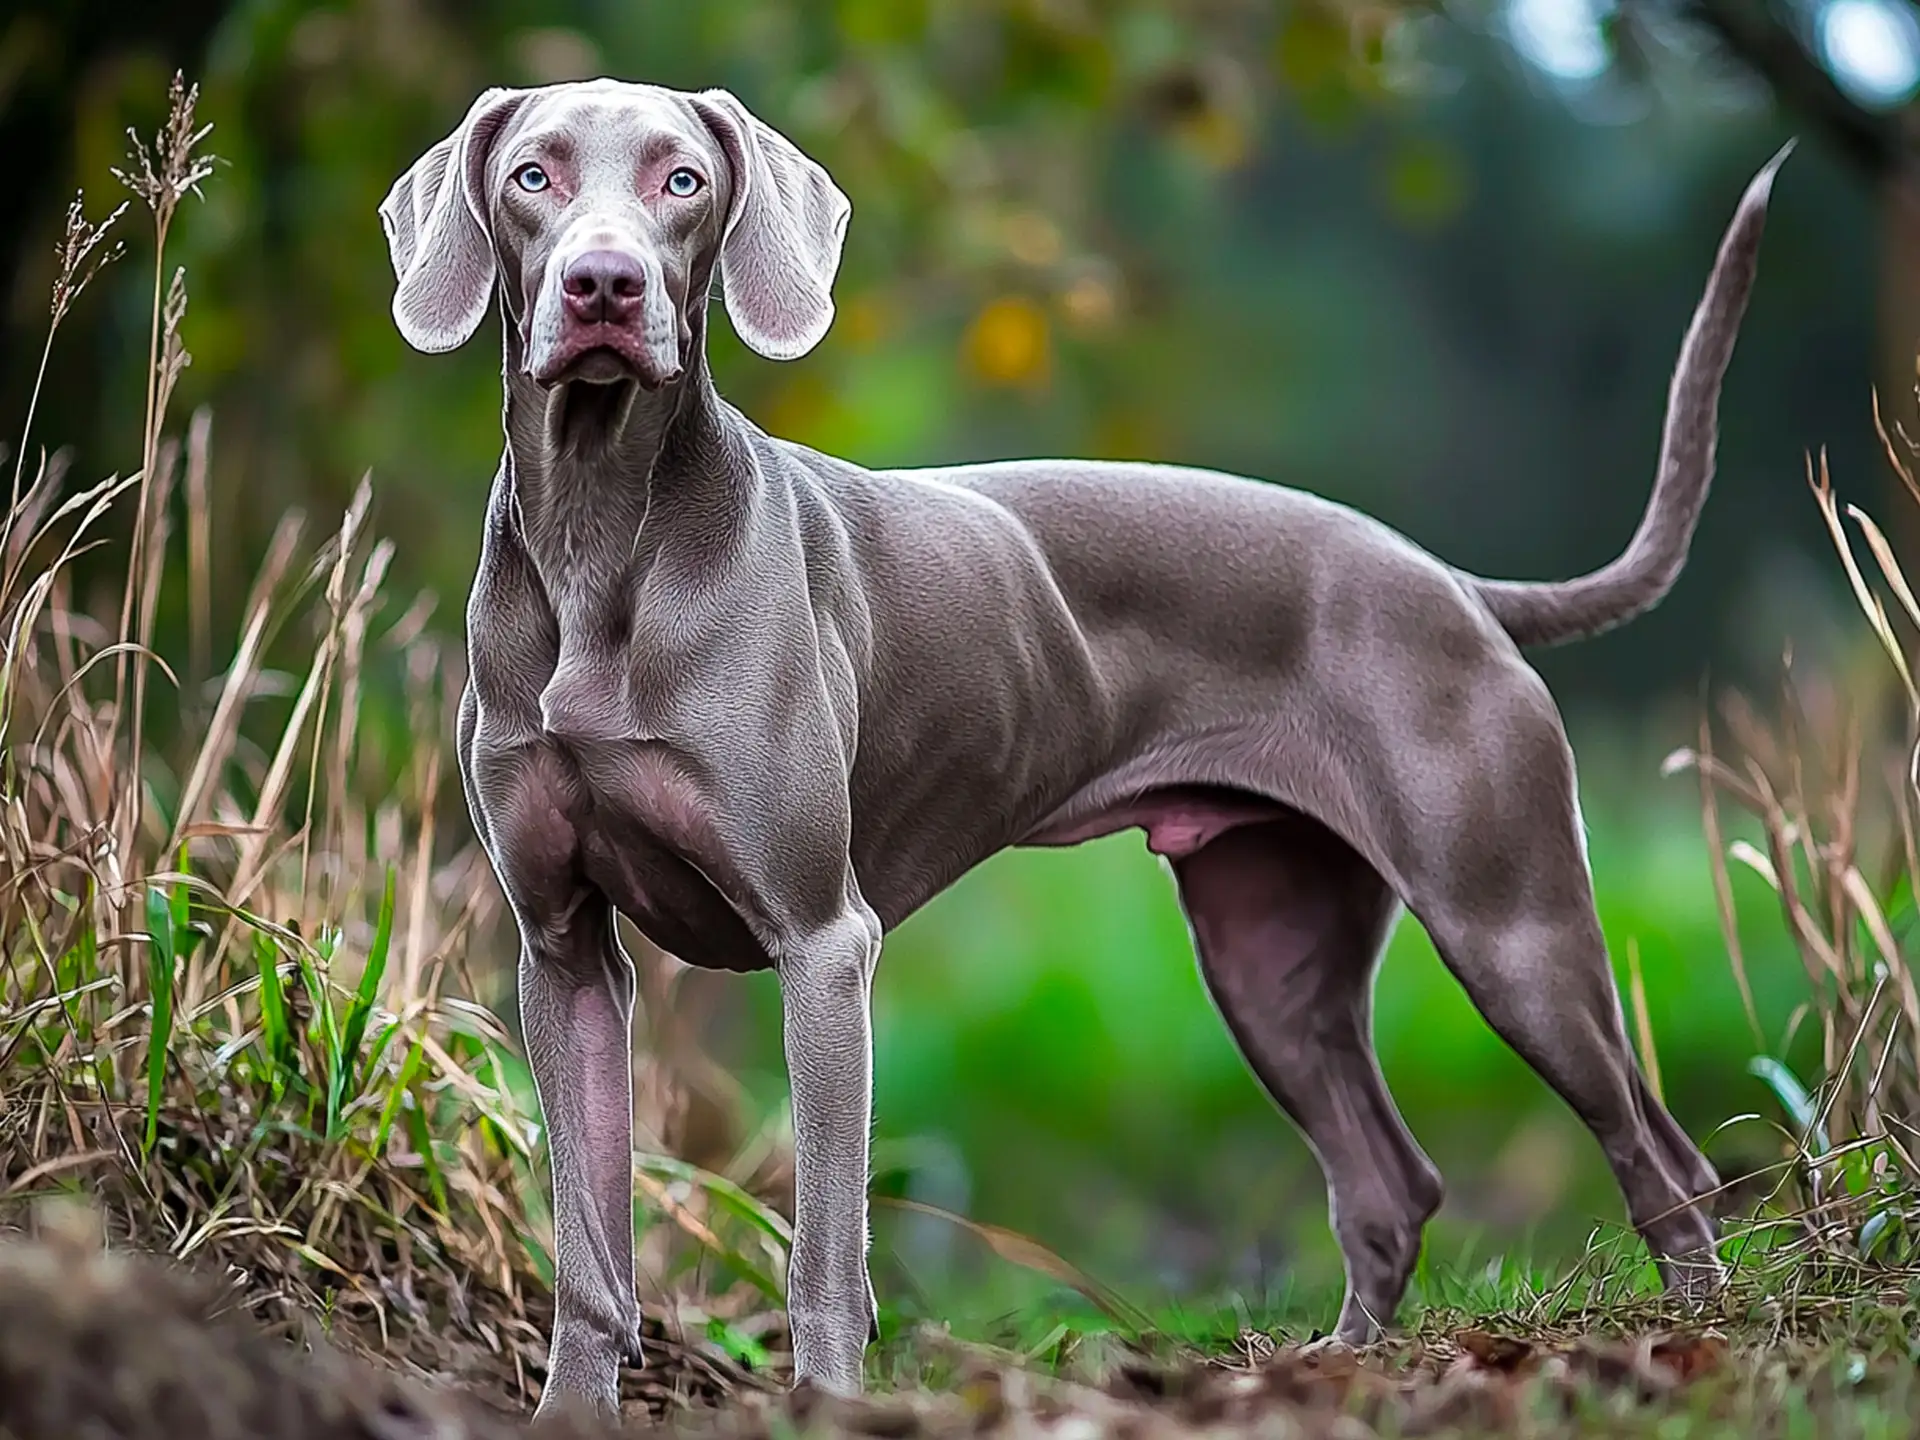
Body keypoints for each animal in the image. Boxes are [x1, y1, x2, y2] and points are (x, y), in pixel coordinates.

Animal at [378, 81, 1781, 1420]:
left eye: (684, 181)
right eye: (532, 176)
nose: (603, 285)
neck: (603, 536)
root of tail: (1455, 584)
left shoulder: (823, 946)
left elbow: (825, 1248)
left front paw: (825, 1405)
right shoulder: (562, 954)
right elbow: (589, 1252)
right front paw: (570, 1410)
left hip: (1512, 930)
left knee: (1662, 1158)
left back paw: (1701, 1341)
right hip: (1266, 955)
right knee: (1392, 1182)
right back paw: (1336, 1366)